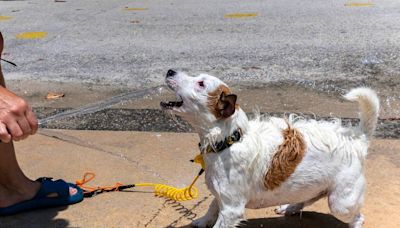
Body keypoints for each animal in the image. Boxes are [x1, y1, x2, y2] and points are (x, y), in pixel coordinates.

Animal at [160, 69, 378, 228]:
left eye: (201, 84)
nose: (170, 71)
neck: (230, 140)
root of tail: (357, 138)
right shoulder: (224, 199)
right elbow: (213, 207)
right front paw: (201, 221)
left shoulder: (231, 209)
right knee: (307, 198)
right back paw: (290, 207)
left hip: (341, 203)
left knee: (357, 218)